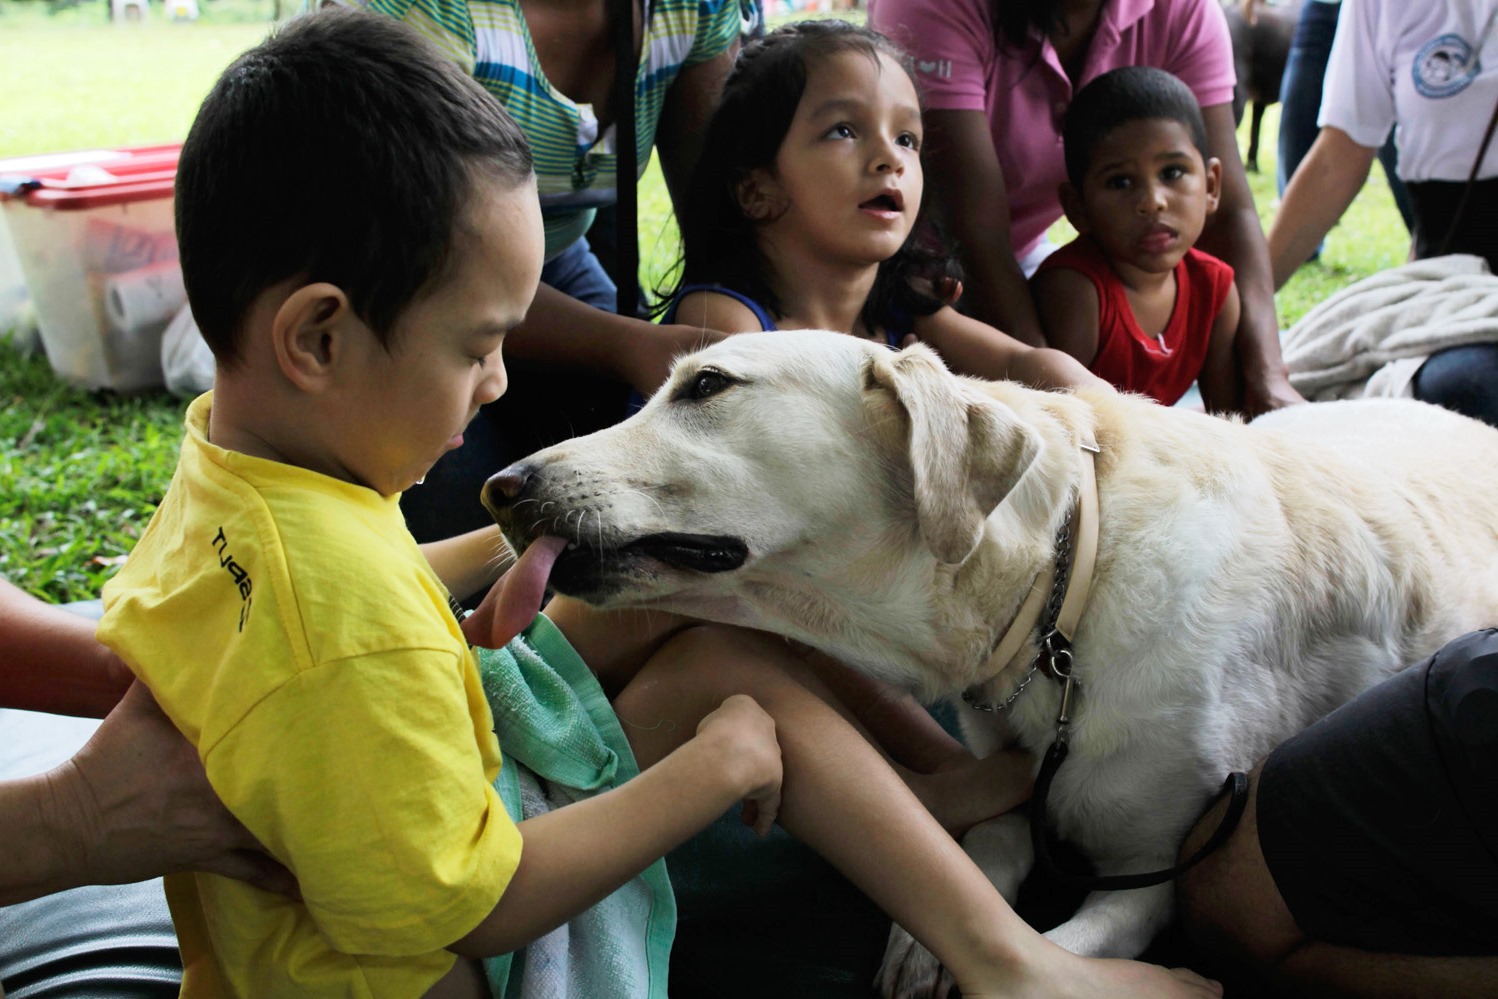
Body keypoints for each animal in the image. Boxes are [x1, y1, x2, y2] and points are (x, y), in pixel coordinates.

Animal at [485, 329, 1498, 994]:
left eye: (707, 385)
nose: (501, 486)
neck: (1064, 596)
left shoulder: (1155, 870)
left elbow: (1076, 934)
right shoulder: (1008, 769)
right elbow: (992, 838)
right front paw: (925, 937)